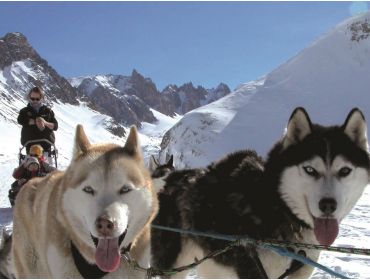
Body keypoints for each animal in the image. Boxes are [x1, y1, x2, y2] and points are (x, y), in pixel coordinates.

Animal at [151, 107, 370, 278]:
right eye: (310, 169)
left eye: (345, 171)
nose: (328, 205)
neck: (277, 207)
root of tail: (170, 179)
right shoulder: (253, 270)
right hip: (172, 266)